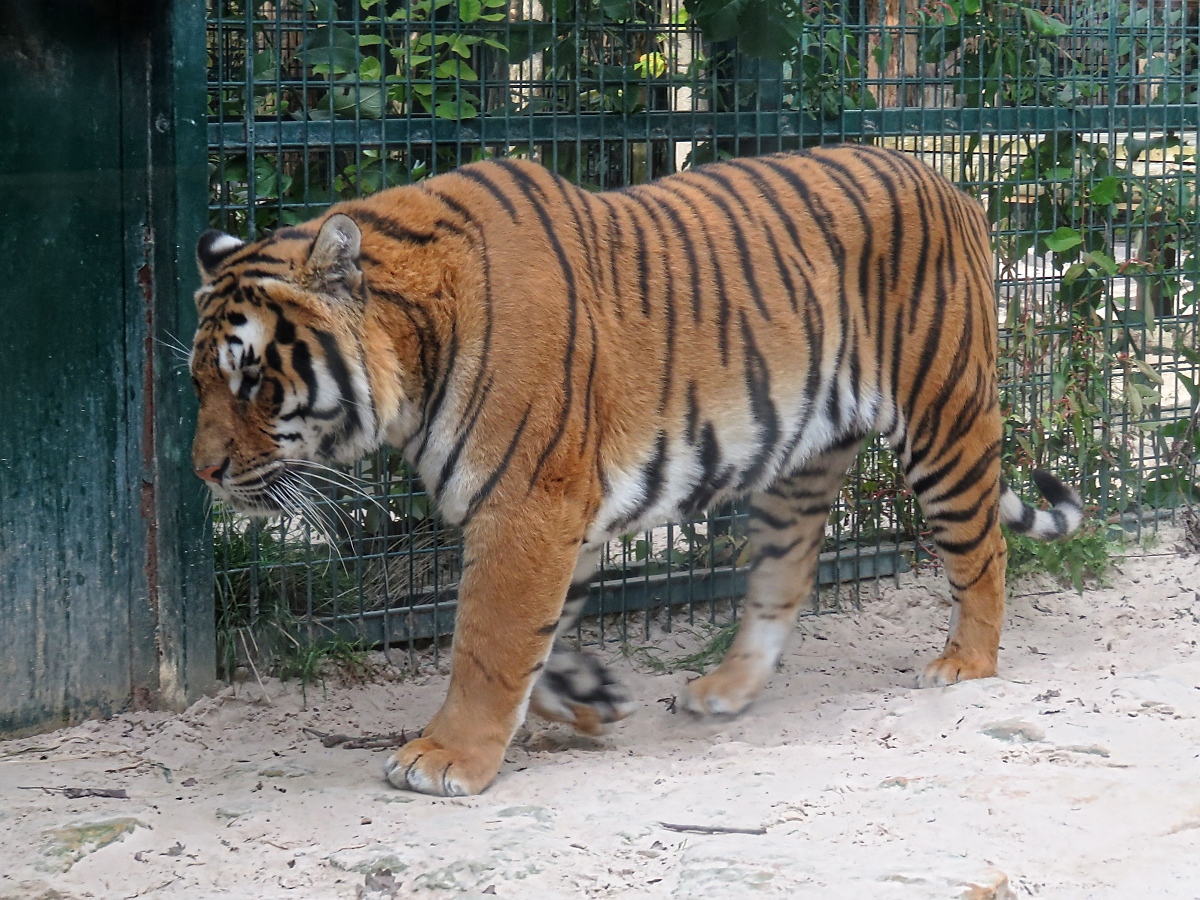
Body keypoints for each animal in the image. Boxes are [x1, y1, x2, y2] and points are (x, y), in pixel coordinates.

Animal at [192, 144, 1084, 801]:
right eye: (200, 378)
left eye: (251, 379)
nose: (204, 472)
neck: (414, 353)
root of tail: (948, 182)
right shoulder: (564, 507)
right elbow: (539, 633)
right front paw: (586, 699)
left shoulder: (528, 503)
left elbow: (487, 641)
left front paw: (447, 756)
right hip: (799, 465)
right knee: (784, 578)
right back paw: (725, 688)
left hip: (943, 418)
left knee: (983, 549)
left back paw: (965, 664)